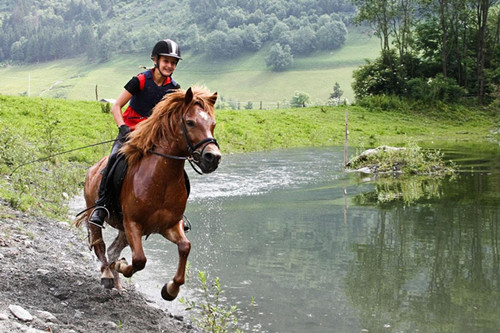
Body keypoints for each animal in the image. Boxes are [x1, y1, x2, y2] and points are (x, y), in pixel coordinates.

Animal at [75, 86, 220, 300]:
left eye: (213, 124)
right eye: (190, 122)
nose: (213, 158)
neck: (161, 180)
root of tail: (92, 169)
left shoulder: (169, 225)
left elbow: (185, 247)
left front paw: (170, 289)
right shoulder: (133, 224)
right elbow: (139, 260)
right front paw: (121, 266)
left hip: (123, 229)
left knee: (113, 249)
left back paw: (118, 284)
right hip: (95, 215)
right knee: (100, 244)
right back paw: (108, 275)